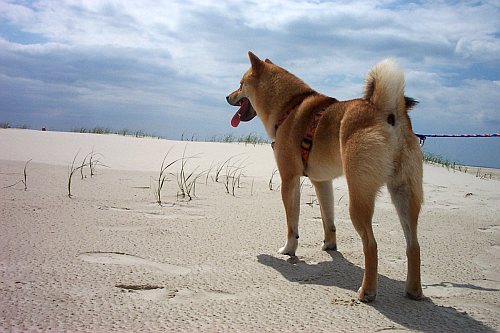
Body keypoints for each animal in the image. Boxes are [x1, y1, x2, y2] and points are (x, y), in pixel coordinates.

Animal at [227, 51, 422, 300]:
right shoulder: (322, 181)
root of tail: (387, 113)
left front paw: (288, 250)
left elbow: (292, 224)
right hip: (404, 193)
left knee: (371, 245)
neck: (289, 106)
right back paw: (413, 291)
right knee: (413, 246)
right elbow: (328, 219)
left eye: (241, 84)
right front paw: (329, 246)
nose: (227, 96)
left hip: (359, 198)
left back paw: (366, 291)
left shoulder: (289, 180)